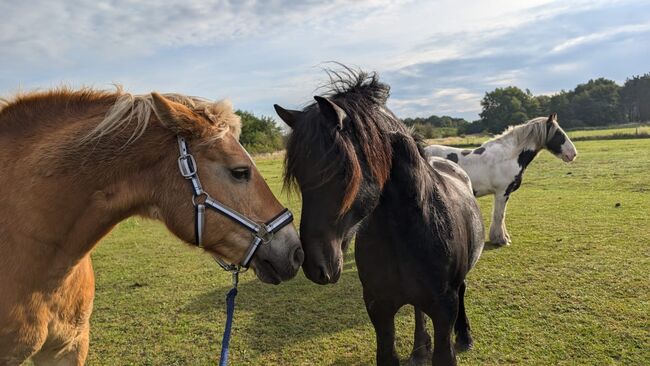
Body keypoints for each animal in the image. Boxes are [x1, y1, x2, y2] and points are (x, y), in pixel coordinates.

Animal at [274, 69, 480, 366]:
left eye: (343, 171)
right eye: (300, 176)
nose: (316, 266)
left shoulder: (444, 310)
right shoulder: (379, 308)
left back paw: (464, 336)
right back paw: (420, 348)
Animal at [426, 115, 576, 246]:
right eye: (559, 134)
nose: (573, 154)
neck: (509, 156)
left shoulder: (503, 194)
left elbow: (501, 216)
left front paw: (503, 237)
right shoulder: (502, 193)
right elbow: (499, 216)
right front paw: (501, 240)